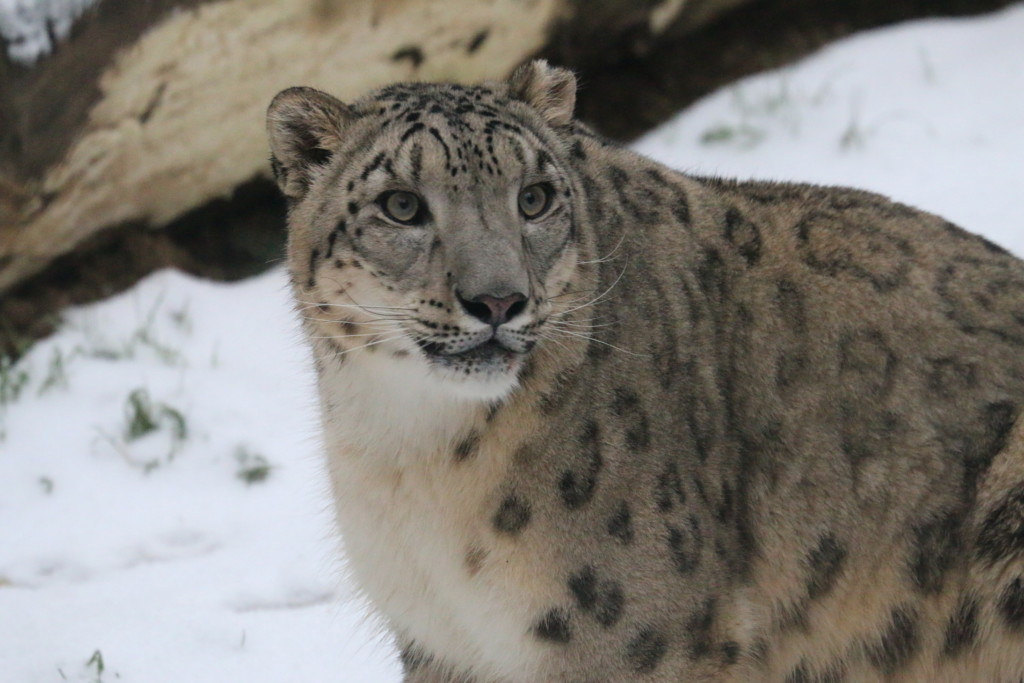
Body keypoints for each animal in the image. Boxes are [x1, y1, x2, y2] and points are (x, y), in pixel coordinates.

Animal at [266, 60, 1024, 683]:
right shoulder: (442, 642)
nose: (500, 300)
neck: (411, 453)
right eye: (401, 205)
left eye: (534, 197)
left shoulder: (636, 636)